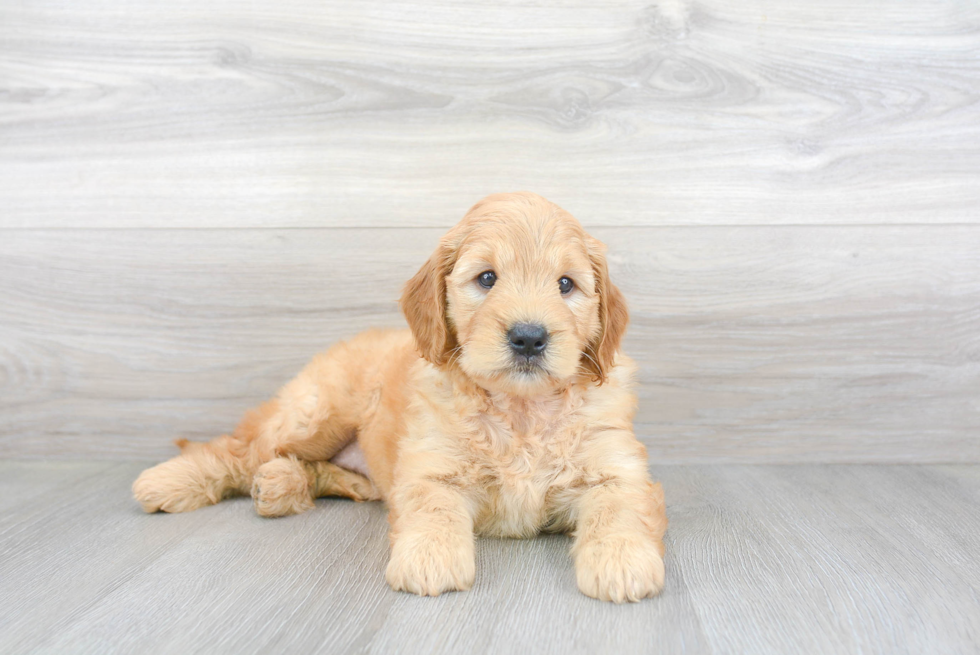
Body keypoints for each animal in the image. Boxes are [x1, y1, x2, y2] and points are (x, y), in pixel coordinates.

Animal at [134, 192, 668, 604]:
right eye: (487, 278)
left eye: (566, 284)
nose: (529, 337)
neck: (521, 410)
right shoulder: (431, 467)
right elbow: (433, 508)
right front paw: (430, 559)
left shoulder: (618, 468)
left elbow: (620, 508)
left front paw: (622, 563)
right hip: (316, 415)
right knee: (239, 449)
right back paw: (170, 482)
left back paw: (280, 486)